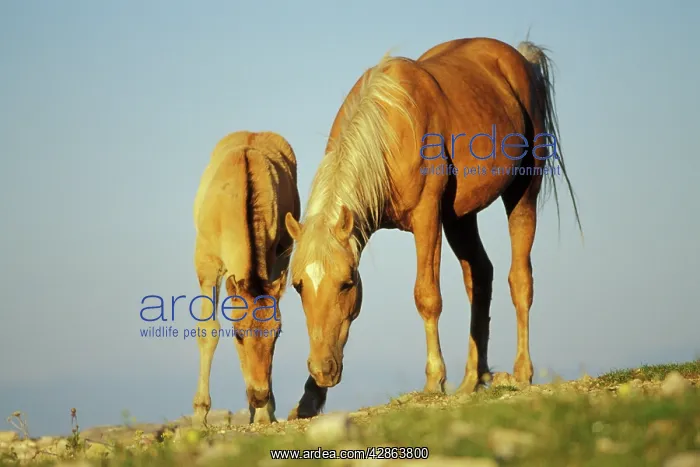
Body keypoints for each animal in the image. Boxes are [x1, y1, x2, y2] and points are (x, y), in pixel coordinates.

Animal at [192, 131, 300, 425]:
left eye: (277, 334)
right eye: (238, 335)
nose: (260, 395)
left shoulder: (274, 257)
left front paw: (264, 414)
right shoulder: (207, 264)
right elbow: (208, 330)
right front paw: (199, 414)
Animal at [284, 37, 582, 419]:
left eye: (347, 283)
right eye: (298, 286)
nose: (323, 369)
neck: (390, 128)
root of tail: (520, 59)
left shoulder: (427, 216)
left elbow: (427, 296)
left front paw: (434, 379)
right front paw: (308, 400)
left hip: (522, 193)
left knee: (520, 279)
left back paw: (521, 372)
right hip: (460, 217)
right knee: (480, 278)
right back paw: (472, 379)